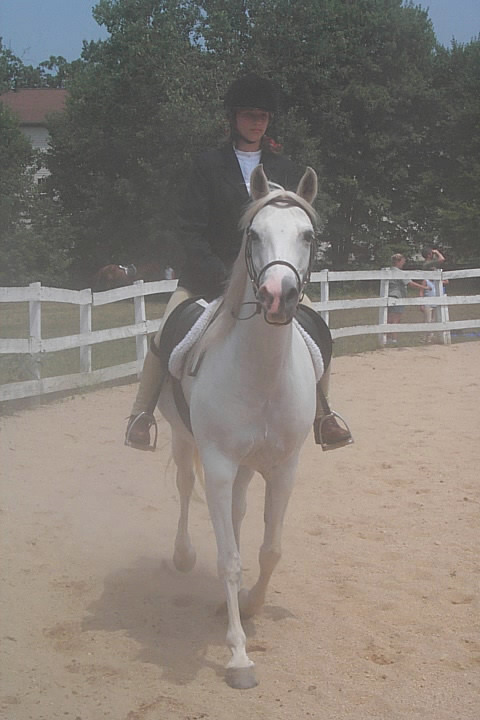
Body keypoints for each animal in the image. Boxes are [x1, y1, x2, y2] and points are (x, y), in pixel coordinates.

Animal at [157, 164, 320, 689]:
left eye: (307, 235)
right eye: (254, 234)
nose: (277, 297)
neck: (261, 373)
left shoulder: (285, 467)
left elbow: (270, 550)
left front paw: (251, 605)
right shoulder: (219, 465)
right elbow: (228, 559)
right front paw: (238, 656)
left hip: (250, 466)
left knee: (239, 511)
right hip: (183, 440)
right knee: (186, 490)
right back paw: (184, 555)